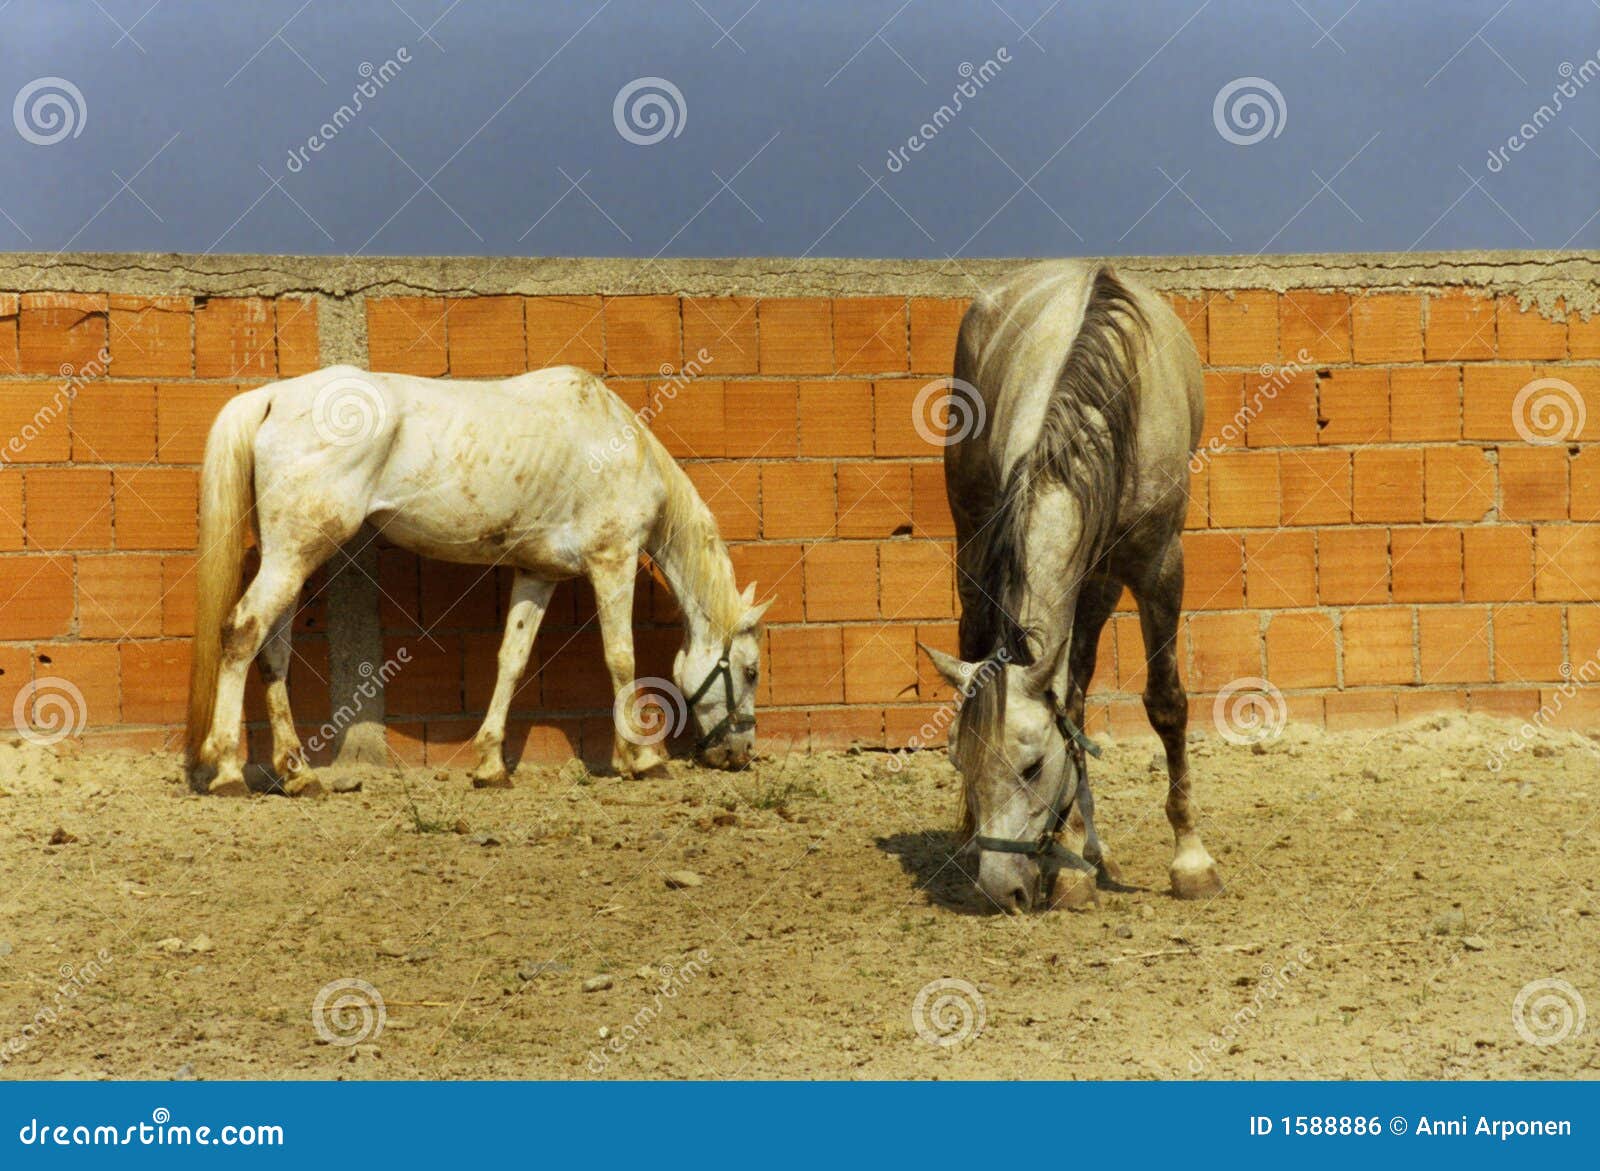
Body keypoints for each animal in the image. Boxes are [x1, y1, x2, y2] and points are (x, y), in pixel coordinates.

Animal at [184, 364, 769, 797]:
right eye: (751, 670)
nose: (740, 756)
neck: (614, 439)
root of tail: (273, 397)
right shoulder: (613, 559)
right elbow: (621, 658)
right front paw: (643, 759)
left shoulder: (537, 572)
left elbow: (511, 661)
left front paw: (491, 765)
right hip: (294, 555)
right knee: (241, 632)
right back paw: (228, 771)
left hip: (290, 556)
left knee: (273, 652)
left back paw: (298, 774)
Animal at [920, 262, 1222, 912]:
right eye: (959, 761)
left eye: (1033, 767)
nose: (1001, 891)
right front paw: (1072, 869)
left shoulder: (1159, 567)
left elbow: (1166, 703)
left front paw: (1191, 861)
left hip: (1100, 585)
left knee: (1079, 691)